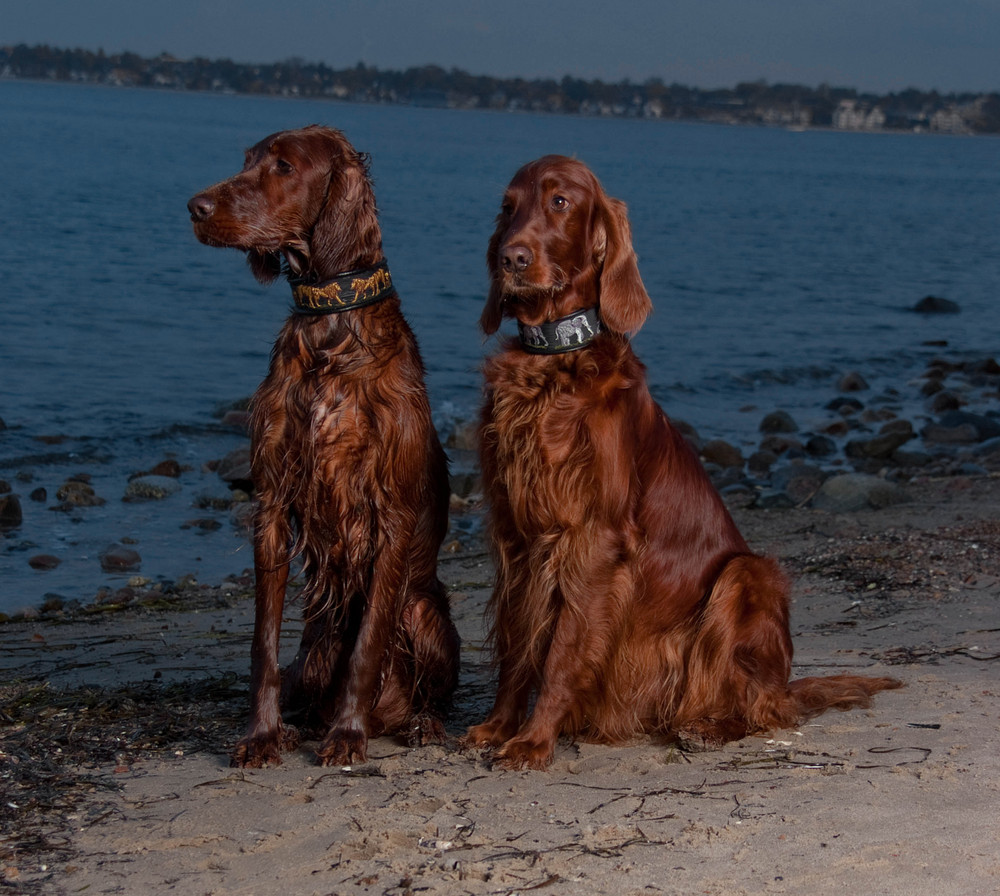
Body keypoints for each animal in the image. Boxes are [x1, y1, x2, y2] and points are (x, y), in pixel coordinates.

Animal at [188, 126, 460, 768]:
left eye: (284, 166)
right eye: (246, 161)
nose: (196, 207)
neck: (330, 329)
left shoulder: (391, 513)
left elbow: (369, 643)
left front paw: (348, 734)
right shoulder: (270, 503)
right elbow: (262, 643)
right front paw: (262, 735)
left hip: (425, 610)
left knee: (422, 688)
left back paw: (414, 724)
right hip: (314, 645)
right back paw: (305, 723)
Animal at [464, 156, 904, 768]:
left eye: (560, 202)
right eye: (508, 207)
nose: (512, 258)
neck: (554, 360)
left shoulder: (592, 536)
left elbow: (562, 650)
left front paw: (533, 739)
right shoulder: (515, 534)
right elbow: (515, 644)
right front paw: (499, 725)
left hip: (746, 576)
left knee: (763, 707)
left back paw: (708, 727)